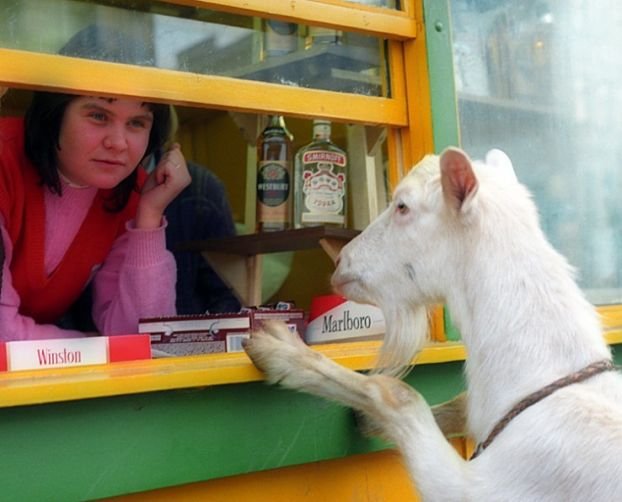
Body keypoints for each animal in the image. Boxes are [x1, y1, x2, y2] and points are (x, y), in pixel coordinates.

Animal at [244, 147, 622, 500]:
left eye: (402, 206)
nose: (341, 262)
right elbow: (460, 404)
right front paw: (368, 420)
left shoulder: (471, 489)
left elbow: (399, 394)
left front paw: (279, 351)